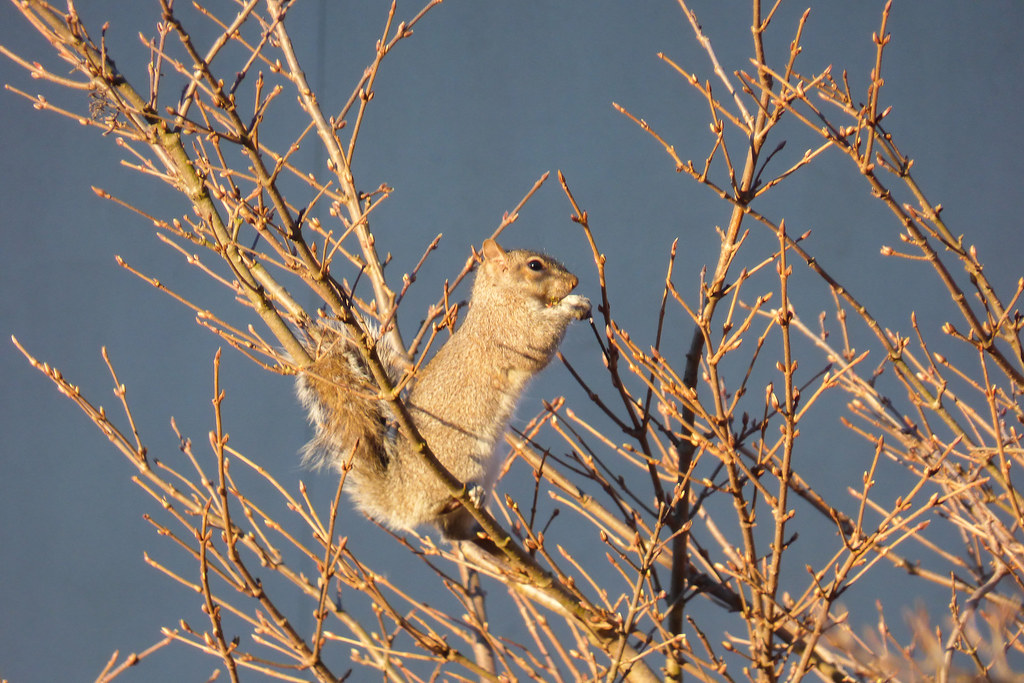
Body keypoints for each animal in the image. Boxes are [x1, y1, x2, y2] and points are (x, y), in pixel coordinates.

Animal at [296, 238, 591, 540]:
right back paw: (467, 495)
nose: (575, 282)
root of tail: (402, 495)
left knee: (452, 532)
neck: (498, 297)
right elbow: (539, 341)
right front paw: (573, 304)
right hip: (460, 462)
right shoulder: (511, 331)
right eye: (535, 266)